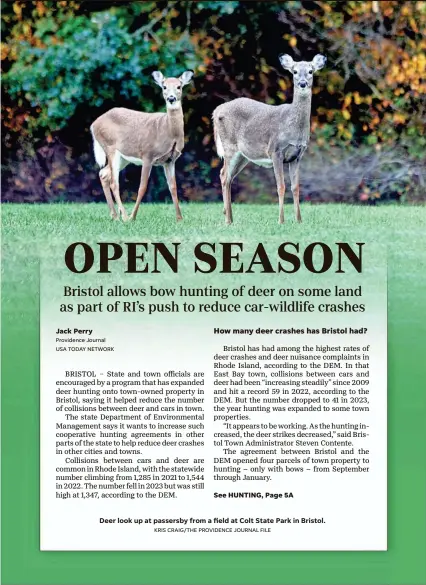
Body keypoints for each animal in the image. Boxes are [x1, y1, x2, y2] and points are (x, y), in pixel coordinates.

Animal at [91, 68, 195, 222]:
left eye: (179, 86)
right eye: (164, 87)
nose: (171, 98)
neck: (168, 132)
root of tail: (93, 125)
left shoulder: (170, 160)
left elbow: (173, 187)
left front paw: (179, 218)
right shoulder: (147, 155)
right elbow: (142, 187)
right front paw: (133, 217)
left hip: (124, 158)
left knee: (104, 174)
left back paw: (115, 216)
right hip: (110, 147)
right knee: (114, 182)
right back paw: (125, 217)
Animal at [212, 54, 326, 224]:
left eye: (311, 71)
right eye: (295, 71)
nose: (302, 83)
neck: (294, 128)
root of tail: (216, 110)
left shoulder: (297, 155)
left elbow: (295, 187)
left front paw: (299, 220)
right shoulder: (275, 150)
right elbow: (281, 186)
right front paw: (281, 220)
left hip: (243, 155)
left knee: (226, 175)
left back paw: (229, 216)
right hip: (229, 146)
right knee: (225, 175)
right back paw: (228, 220)